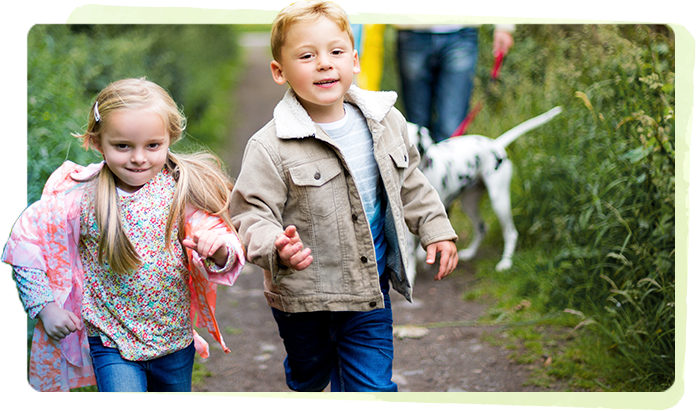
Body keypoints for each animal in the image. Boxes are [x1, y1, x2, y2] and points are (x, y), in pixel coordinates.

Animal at [406, 107, 564, 286]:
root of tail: (495, 144)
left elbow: (425, 246)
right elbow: (410, 252)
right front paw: (410, 276)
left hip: (499, 201)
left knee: (510, 233)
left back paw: (505, 262)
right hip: (469, 203)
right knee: (482, 228)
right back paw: (470, 253)